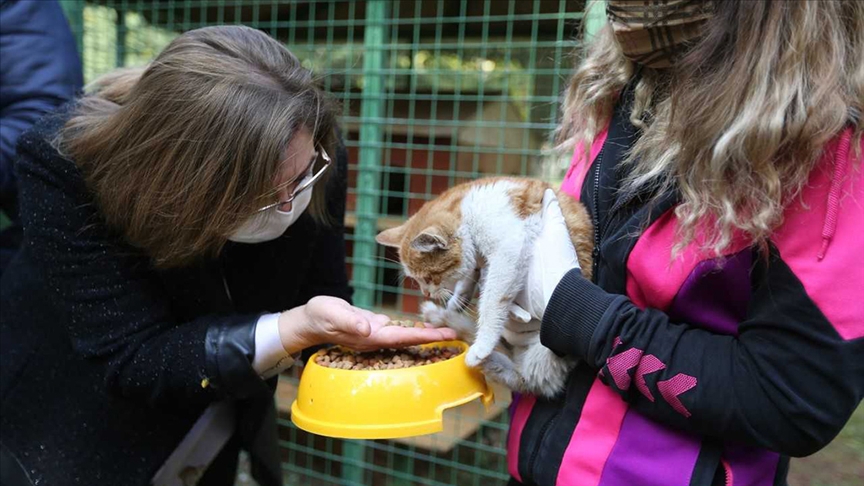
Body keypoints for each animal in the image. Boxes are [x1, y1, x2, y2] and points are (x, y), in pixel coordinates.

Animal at [374, 177, 592, 396]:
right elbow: (470, 274)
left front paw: (483, 344)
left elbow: (491, 301)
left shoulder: (508, 250)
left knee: (528, 379)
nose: (425, 292)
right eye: (417, 279)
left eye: (428, 277)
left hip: (545, 351)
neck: (470, 209)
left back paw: (482, 357)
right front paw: (458, 300)